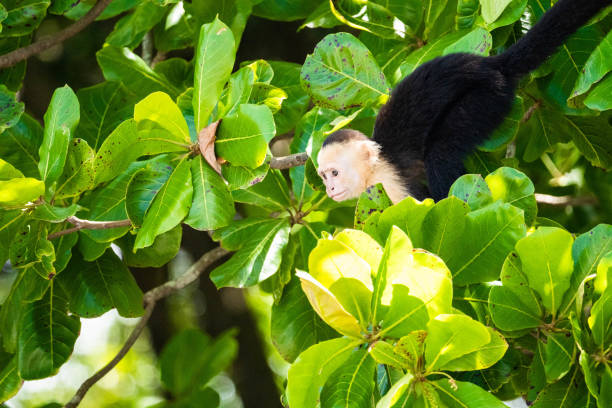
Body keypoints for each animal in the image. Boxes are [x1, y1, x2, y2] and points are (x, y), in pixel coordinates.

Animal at [318, 0, 608, 203]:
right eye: (323, 176)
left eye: (335, 173)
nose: (329, 188)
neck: (374, 168)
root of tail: (491, 64)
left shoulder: (389, 183)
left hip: (487, 97)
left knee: (441, 151)